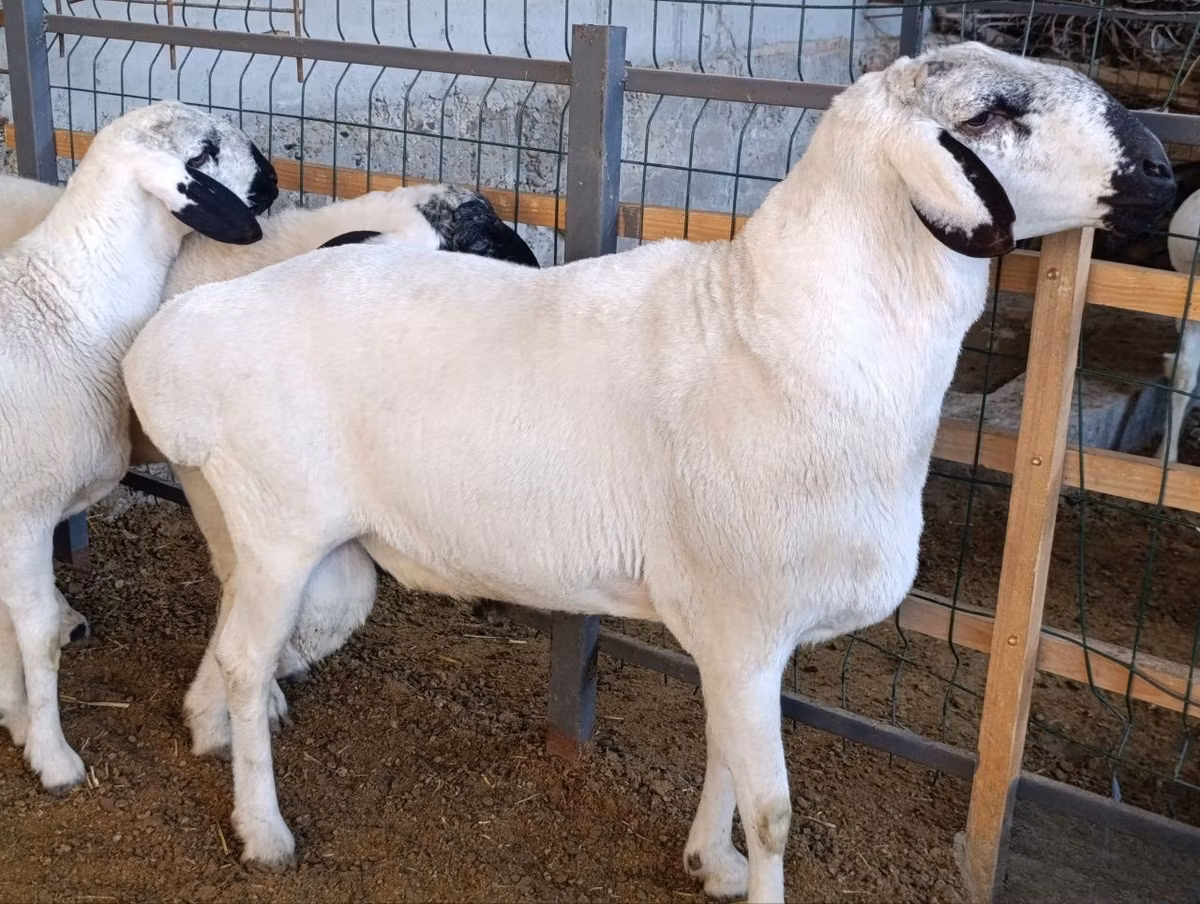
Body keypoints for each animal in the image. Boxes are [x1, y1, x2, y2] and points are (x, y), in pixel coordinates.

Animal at [0, 99, 279, 793]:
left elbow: (6, 626)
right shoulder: (21, 512)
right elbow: (34, 633)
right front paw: (51, 754)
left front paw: (12, 714)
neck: (67, 306)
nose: (272, 181)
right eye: (203, 153)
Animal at [123, 43, 1175, 901]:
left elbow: (725, 757)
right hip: (282, 528)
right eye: (992, 112)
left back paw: (207, 727)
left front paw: (711, 863)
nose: (1163, 170)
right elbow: (775, 812)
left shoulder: (733, 630)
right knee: (249, 659)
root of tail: (176, 337)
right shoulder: (748, 620)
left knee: (240, 635)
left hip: (269, 535)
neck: (783, 334)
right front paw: (749, 872)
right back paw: (263, 831)